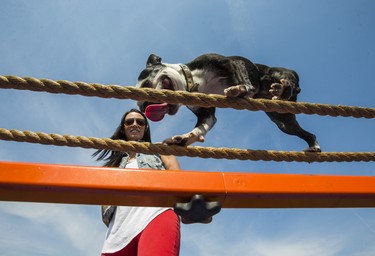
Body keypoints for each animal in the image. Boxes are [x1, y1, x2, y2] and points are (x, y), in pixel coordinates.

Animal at [137, 53, 322, 151]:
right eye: (140, 105)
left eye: (146, 84)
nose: (145, 105)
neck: (195, 81)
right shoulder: (207, 115)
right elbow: (199, 129)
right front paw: (182, 139)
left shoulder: (231, 61)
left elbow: (244, 80)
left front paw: (241, 89)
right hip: (283, 123)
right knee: (306, 133)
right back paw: (313, 146)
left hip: (278, 73)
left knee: (288, 82)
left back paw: (282, 89)